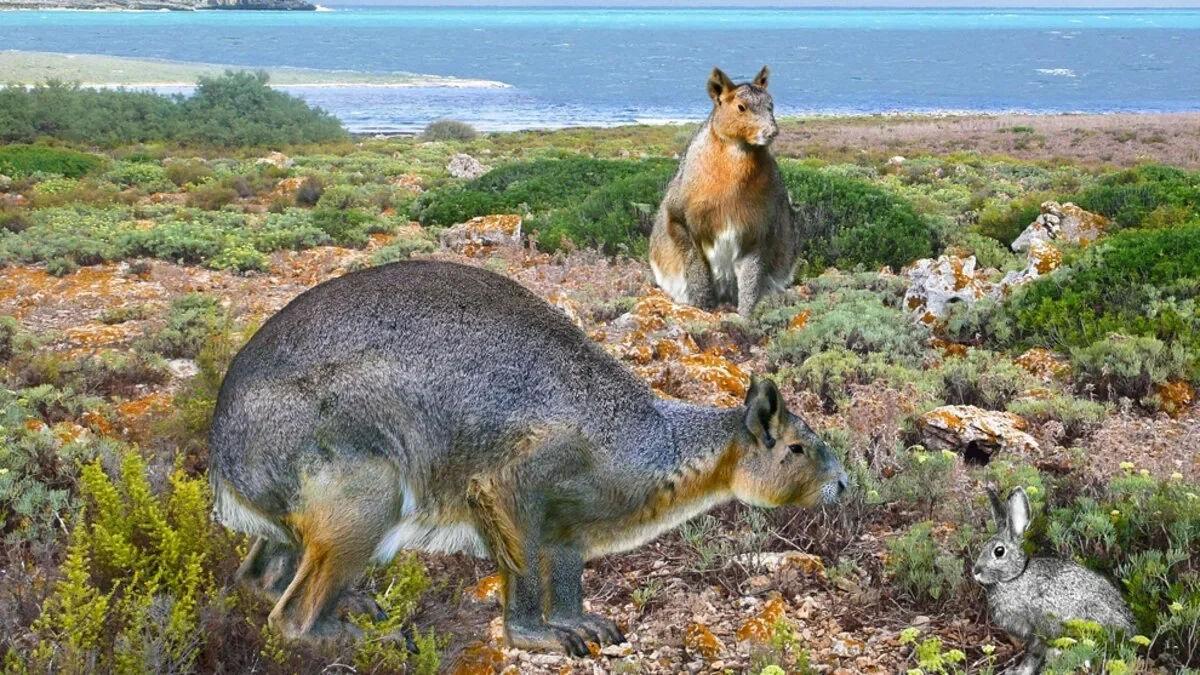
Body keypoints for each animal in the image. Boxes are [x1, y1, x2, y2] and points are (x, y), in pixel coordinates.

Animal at [974, 482, 1132, 672]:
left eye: (999, 551)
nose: (976, 571)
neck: (1016, 577)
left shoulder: (1040, 628)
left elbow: (1033, 654)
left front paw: (1019, 671)